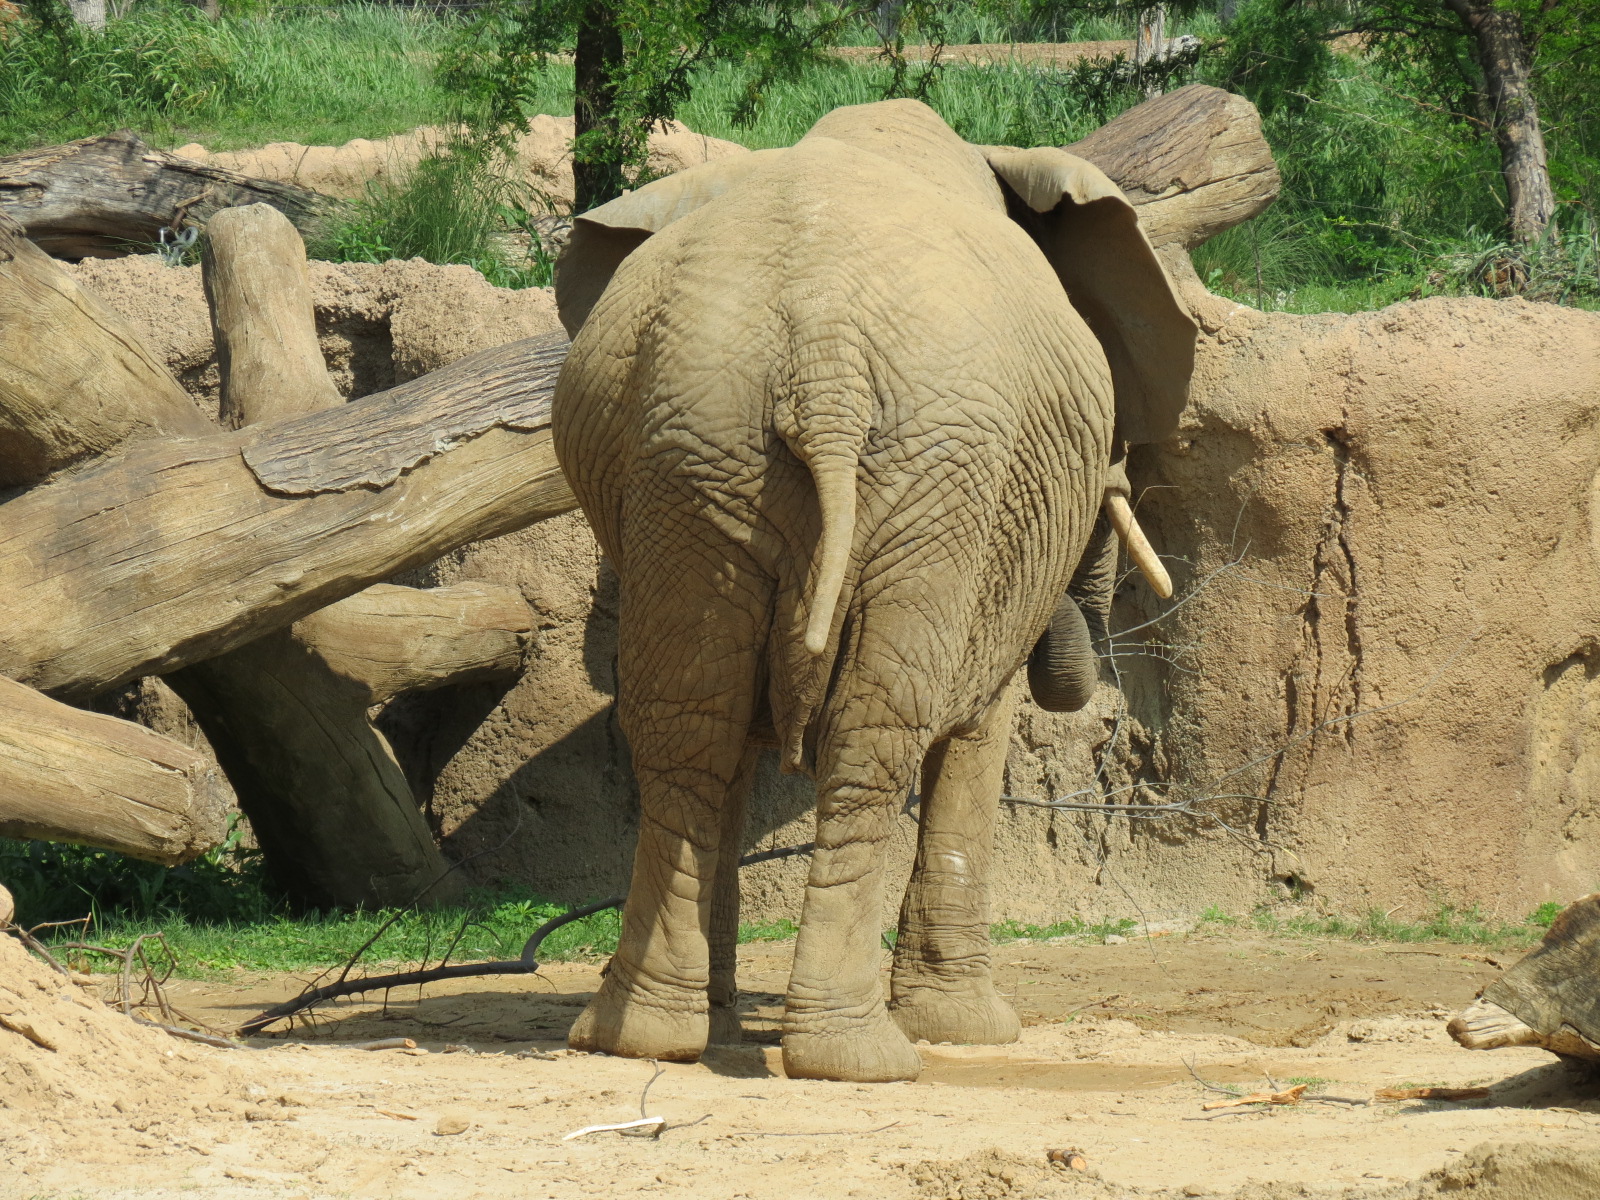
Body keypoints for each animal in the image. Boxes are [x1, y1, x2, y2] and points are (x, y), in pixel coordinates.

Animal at [550, 98, 1196, 1084]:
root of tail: (821, 357)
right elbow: (976, 730)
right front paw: (975, 1029)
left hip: (689, 450)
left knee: (690, 727)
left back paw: (641, 1036)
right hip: (935, 473)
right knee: (875, 734)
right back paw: (860, 1055)